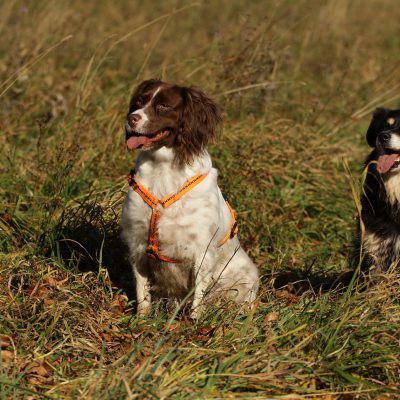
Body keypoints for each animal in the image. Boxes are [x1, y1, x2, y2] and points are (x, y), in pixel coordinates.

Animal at [121, 79, 260, 318]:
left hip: (245, 278)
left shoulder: (202, 250)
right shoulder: (138, 243)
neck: (163, 168)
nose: (131, 118)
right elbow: (142, 292)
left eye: (163, 106)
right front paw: (141, 319)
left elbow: (198, 297)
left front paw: (194, 322)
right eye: (139, 102)